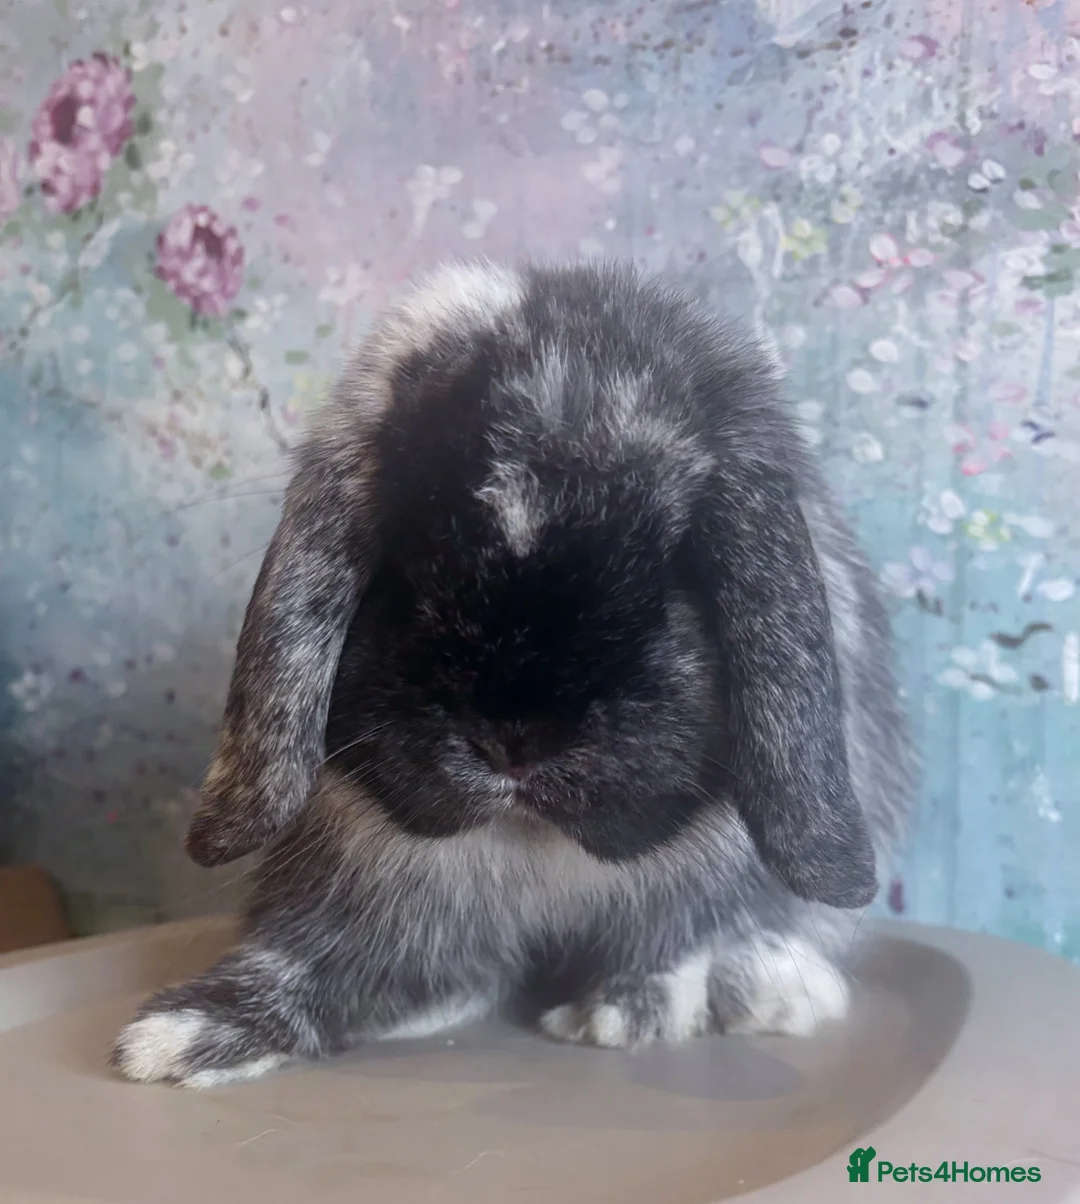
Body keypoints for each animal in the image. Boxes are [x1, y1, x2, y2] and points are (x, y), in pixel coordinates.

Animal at [112, 259, 915, 1088]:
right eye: (405, 563)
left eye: (674, 569)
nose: (516, 739)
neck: (533, 843)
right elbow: (317, 969)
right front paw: (180, 1037)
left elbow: (678, 947)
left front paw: (628, 1014)